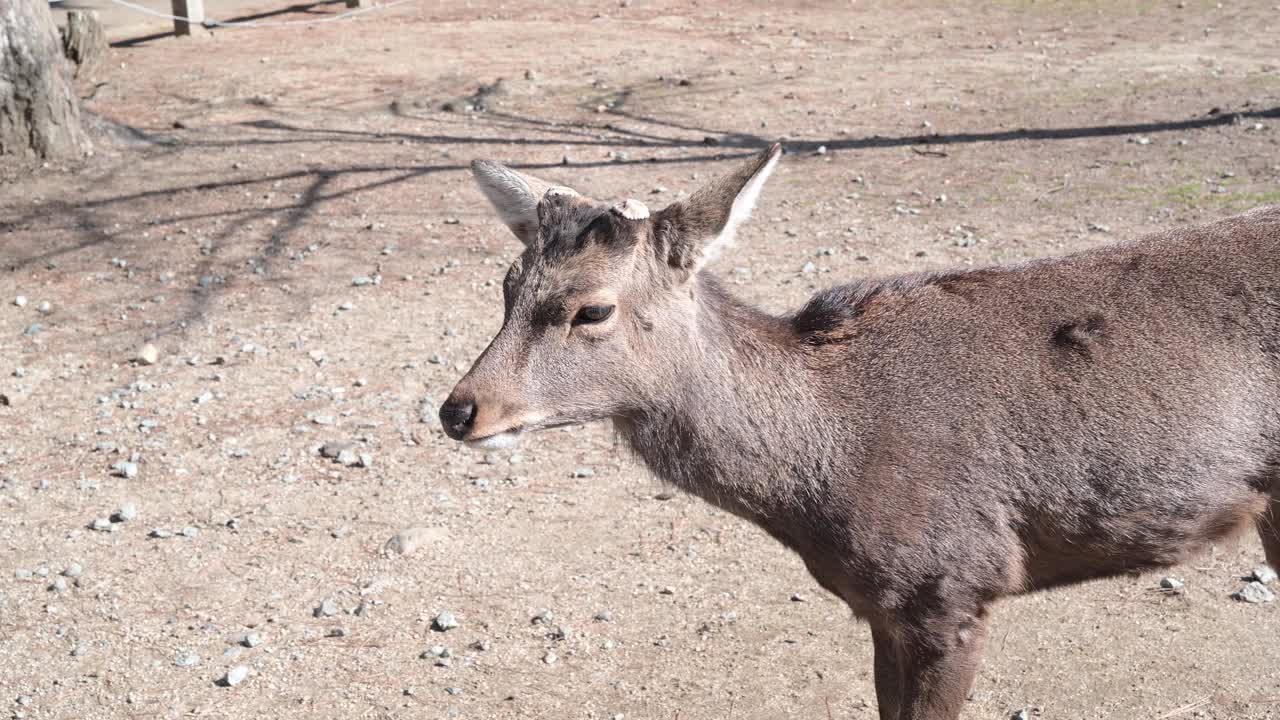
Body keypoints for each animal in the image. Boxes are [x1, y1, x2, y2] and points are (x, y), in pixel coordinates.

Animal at [440, 141, 1280, 717]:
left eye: (593, 308)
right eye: (507, 285)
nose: (459, 409)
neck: (826, 473)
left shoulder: (954, 582)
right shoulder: (881, 604)